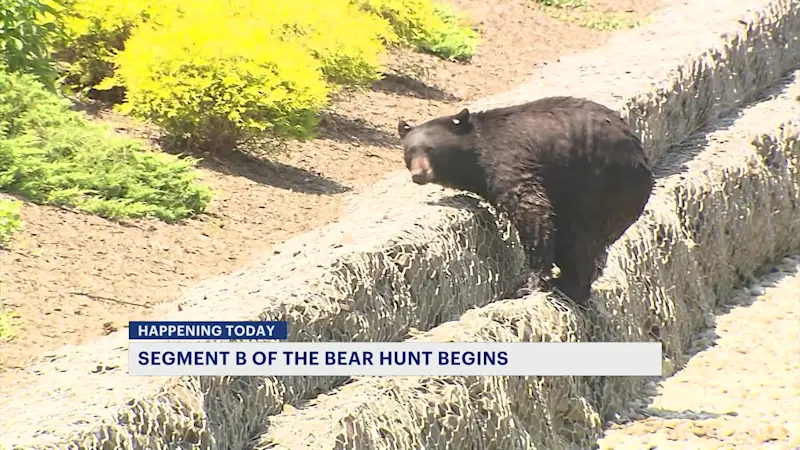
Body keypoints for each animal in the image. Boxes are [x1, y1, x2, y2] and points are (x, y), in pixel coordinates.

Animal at [397, 96, 654, 307]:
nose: (418, 174)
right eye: (409, 152)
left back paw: (571, 286)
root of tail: (642, 157)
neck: (475, 154)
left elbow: (531, 206)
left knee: (580, 240)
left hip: (603, 188)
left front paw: (531, 284)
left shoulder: (509, 159)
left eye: (430, 150)